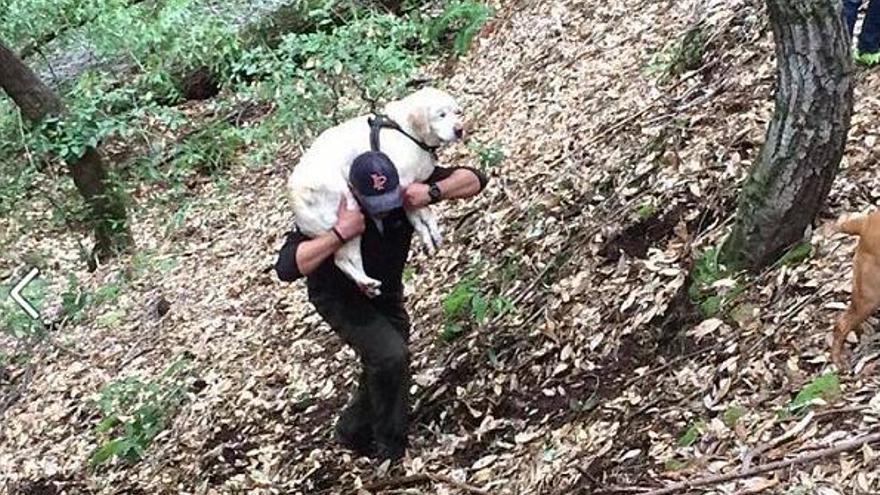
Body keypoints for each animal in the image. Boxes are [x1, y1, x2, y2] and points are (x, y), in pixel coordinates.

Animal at [288, 87, 468, 296]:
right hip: (348, 211)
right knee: (341, 260)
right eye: (441, 114)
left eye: (457, 112)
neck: (406, 131)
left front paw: (430, 237)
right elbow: (423, 212)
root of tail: (294, 193)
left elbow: (420, 219)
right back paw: (366, 282)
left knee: (351, 260)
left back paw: (369, 285)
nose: (459, 129)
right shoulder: (404, 185)